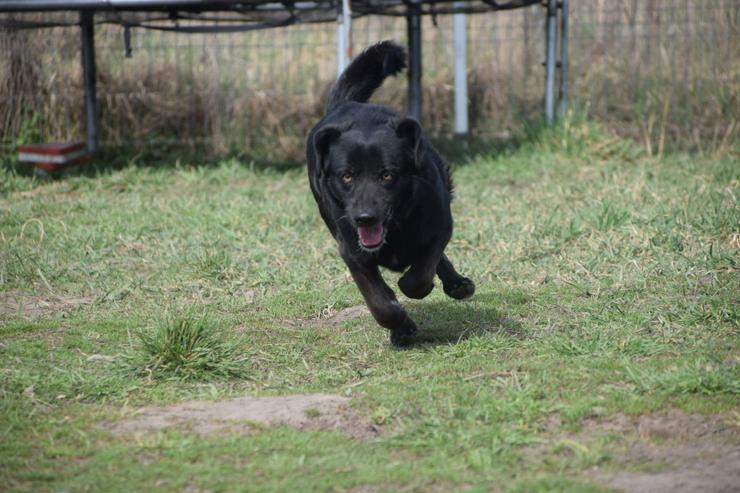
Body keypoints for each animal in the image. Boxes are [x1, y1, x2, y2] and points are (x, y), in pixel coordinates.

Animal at [306, 40, 474, 346]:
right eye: (346, 176)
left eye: (387, 175)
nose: (364, 218)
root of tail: (346, 104)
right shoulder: (352, 251)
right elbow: (381, 303)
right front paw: (401, 326)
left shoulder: (440, 226)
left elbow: (419, 273)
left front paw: (417, 287)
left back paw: (456, 284)